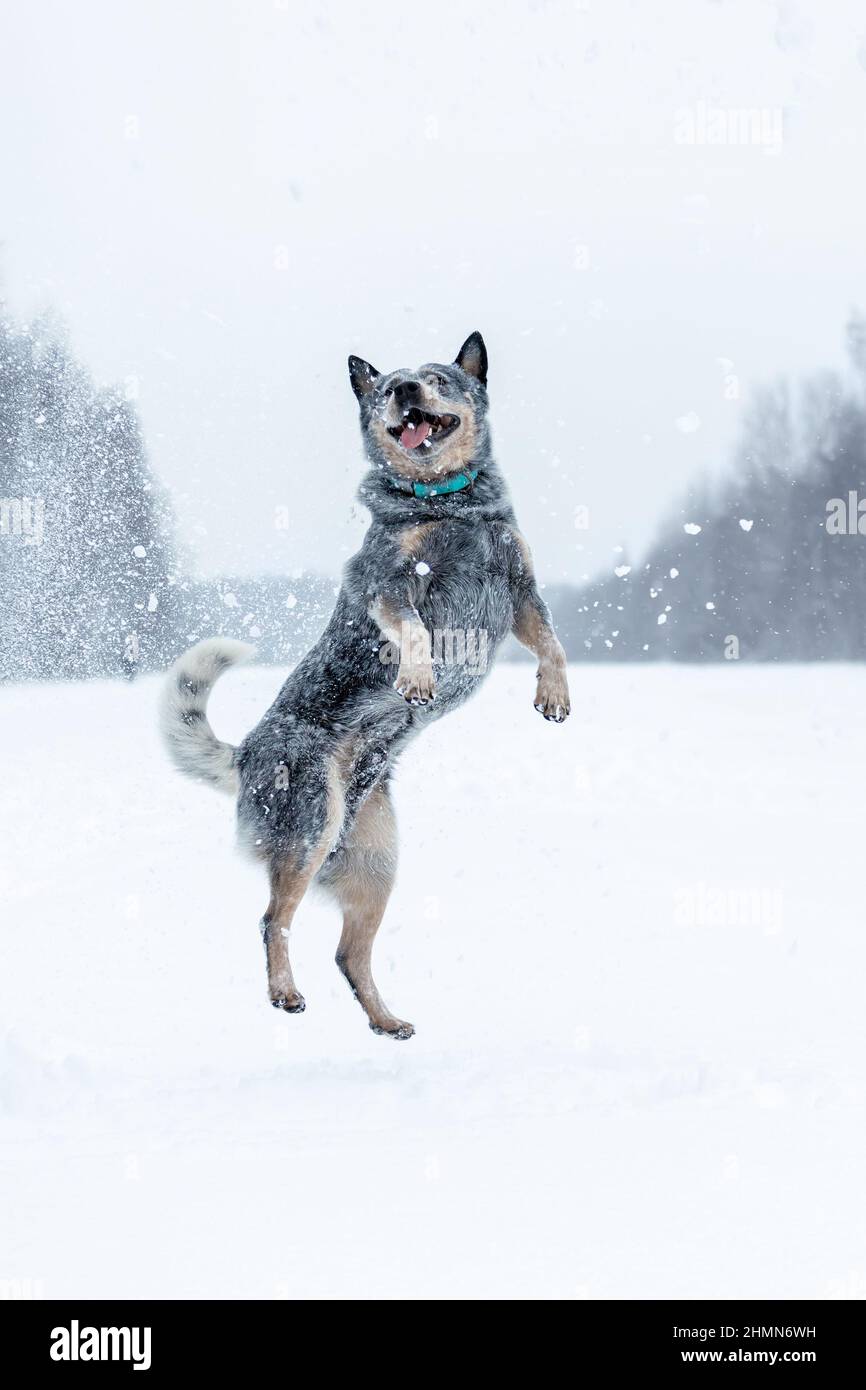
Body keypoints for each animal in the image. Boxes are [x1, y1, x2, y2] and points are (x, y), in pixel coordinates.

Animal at [161, 330, 569, 1039]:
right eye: (384, 388)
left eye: (437, 378)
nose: (404, 389)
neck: (446, 504)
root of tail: (245, 756)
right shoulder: (386, 581)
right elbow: (413, 629)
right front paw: (417, 675)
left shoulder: (519, 588)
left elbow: (551, 642)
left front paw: (554, 694)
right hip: (311, 824)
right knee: (273, 921)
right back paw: (284, 993)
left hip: (378, 863)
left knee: (349, 953)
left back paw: (386, 1021)